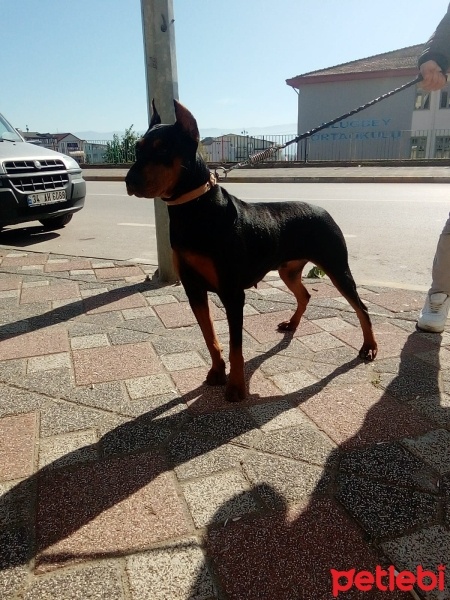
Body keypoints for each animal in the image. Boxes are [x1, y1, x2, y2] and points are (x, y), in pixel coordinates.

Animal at [125, 101, 378, 404]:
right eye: (137, 148)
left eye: (163, 148)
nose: (129, 181)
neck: (194, 209)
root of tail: (323, 210)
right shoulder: (193, 288)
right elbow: (209, 336)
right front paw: (217, 372)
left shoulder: (233, 293)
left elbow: (236, 345)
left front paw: (236, 387)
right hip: (288, 268)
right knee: (304, 294)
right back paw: (292, 324)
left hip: (336, 266)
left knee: (361, 307)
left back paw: (370, 346)